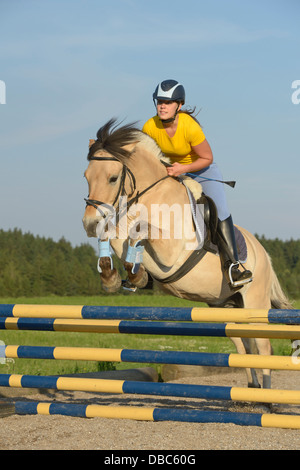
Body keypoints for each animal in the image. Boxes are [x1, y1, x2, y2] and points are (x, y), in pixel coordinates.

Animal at [82, 118, 292, 390]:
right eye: (86, 177)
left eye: (113, 177)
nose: (88, 223)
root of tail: (264, 253)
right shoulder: (121, 230)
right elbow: (114, 235)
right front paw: (115, 277)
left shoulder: (171, 252)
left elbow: (141, 231)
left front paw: (134, 275)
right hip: (227, 308)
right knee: (243, 346)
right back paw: (251, 389)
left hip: (255, 303)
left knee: (263, 346)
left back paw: (265, 393)